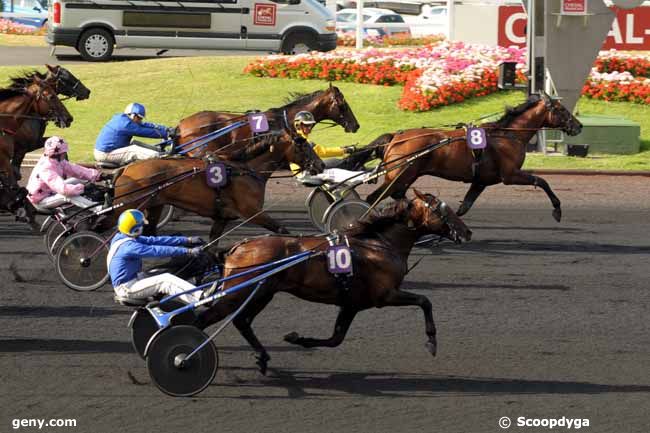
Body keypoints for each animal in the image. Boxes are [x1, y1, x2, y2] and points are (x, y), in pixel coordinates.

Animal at [113, 132, 322, 240]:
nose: (320, 164)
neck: (245, 170)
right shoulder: (252, 212)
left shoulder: (222, 217)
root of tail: (126, 169)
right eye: (304, 146)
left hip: (155, 205)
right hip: (127, 205)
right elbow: (282, 230)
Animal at [194, 191, 470, 372]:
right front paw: (431, 341)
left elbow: (336, 338)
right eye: (443, 210)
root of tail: (237, 247)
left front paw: (298, 339)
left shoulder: (352, 304)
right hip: (238, 293)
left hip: (262, 293)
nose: (467, 232)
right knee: (203, 320)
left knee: (242, 321)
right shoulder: (385, 295)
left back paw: (261, 357)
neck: (379, 244)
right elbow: (424, 301)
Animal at [362, 95, 580, 223]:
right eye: (561, 109)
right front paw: (557, 209)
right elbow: (541, 181)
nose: (578, 126)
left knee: (397, 195)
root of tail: (396, 138)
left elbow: (464, 207)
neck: (508, 135)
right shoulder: (510, 175)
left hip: (406, 176)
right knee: (373, 198)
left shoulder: (481, 181)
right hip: (400, 175)